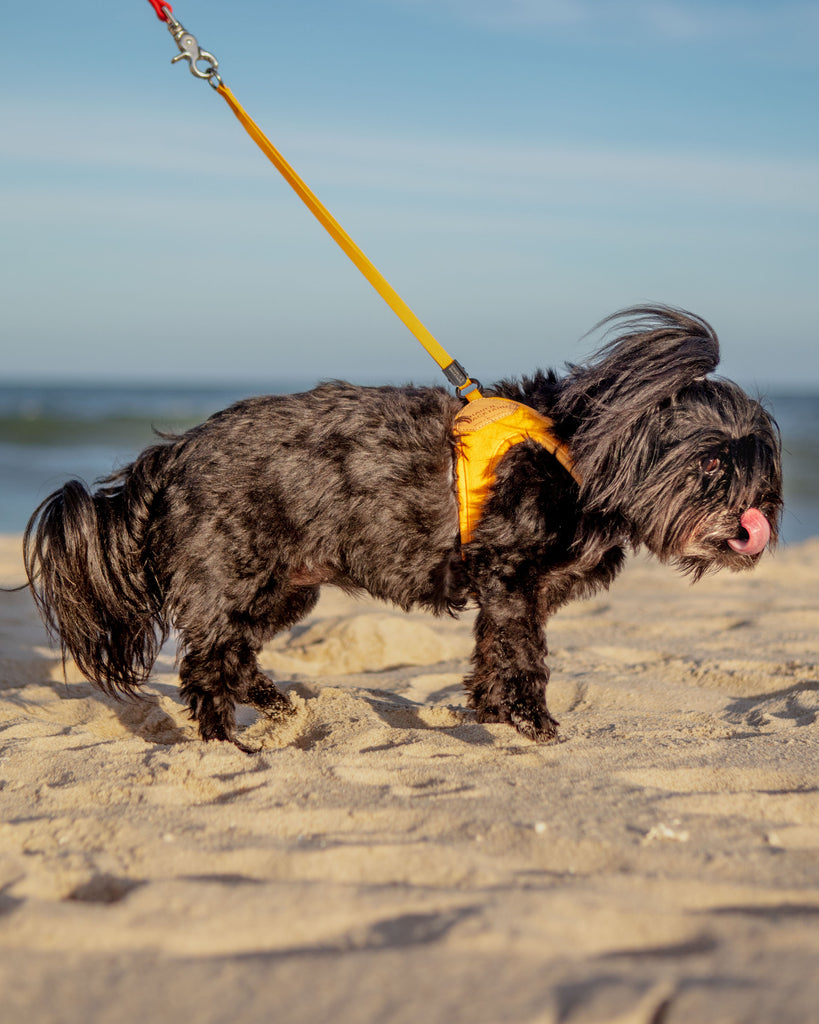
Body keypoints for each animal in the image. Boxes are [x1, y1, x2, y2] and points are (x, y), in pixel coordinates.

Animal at [24, 305, 782, 753]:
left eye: (762, 465)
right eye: (711, 461)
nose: (759, 516)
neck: (585, 452)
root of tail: (175, 451)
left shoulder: (508, 595)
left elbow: (493, 652)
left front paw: (488, 713)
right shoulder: (512, 579)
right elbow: (524, 657)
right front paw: (534, 723)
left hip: (282, 588)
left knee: (235, 654)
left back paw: (277, 707)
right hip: (231, 571)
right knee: (210, 663)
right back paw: (224, 743)